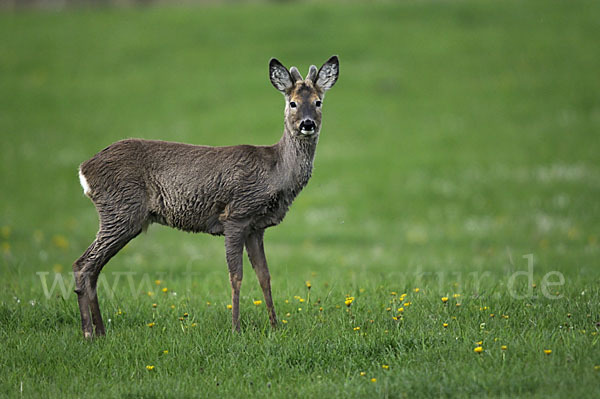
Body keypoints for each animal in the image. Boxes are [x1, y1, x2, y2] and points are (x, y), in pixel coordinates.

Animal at [72, 55, 340, 338]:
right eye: (293, 102)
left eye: (318, 101)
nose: (307, 124)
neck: (275, 172)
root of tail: (84, 169)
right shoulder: (236, 215)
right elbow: (236, 276)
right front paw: (236, 328)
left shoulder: (256, 227)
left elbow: (264, 276)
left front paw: (275, 326)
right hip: (121, 209)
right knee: (83, 264)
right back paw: (88, 333)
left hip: (121, 215)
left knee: (93, 268)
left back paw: (100, 331)